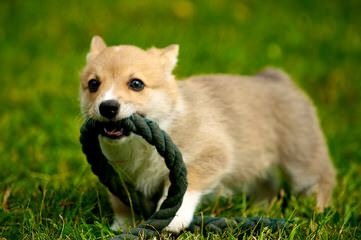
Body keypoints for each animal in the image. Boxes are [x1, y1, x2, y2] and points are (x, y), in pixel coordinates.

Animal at [79, 35, 334, 232]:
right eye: (93, 84)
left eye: (136, 84)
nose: (107, 107)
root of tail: (277, 78)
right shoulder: (118, 173)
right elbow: (122, 201)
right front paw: (121, 226)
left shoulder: (212, 155)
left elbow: (185, 188)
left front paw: (174, 221)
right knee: (268, 183)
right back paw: (261, 207)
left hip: (301, 155)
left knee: (322, 177)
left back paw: (318, 209)